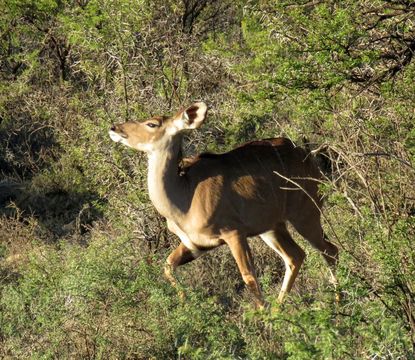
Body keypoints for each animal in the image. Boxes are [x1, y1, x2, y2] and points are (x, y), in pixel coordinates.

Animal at [109, 102, 340, 308]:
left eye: (152, 124)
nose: (114, 128)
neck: (183, 200)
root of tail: (307, 155)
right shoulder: (195, 245)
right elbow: (168, 266)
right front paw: (186, 303)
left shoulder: (234, 233)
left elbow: (248, 277)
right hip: (272, 228)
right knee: (295, 256)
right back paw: (278, 308)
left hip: (305, 215)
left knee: (330, 250)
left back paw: (339, 299)